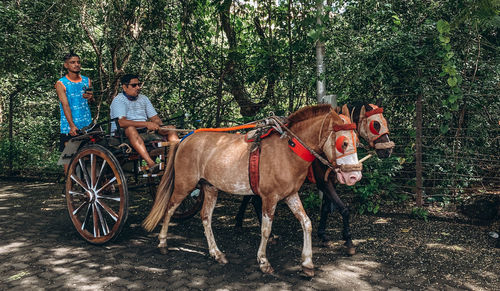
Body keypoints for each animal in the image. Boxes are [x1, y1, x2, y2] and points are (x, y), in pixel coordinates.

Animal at [234, 104, 394, 254]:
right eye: (376, 125)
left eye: (386, 121)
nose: (388, 150)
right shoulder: (323, 182)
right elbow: (343, 209)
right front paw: (348, 240)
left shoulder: (331, 181)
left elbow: (326, 208)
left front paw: (323, 235)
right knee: (255, 200)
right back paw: (267, 233)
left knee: (249, 197)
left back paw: (239, 222)